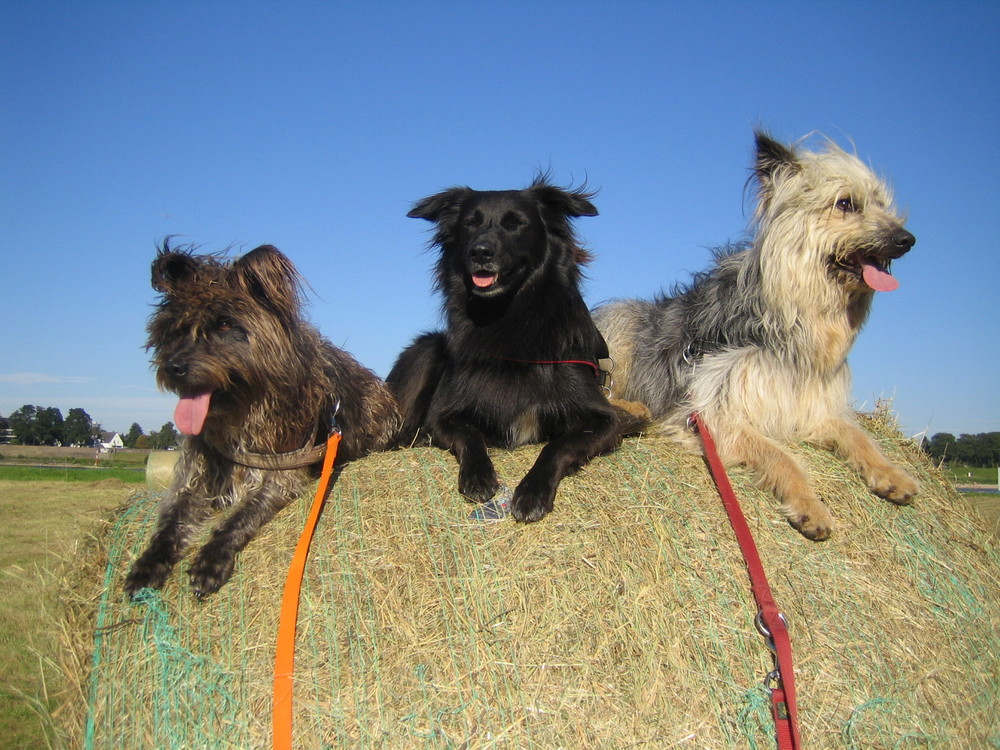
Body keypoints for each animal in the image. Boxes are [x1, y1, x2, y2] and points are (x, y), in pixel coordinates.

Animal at [127, 245, 400, 600]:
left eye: (225, 324)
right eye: (173, 328)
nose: (174, 367)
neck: (242, 410)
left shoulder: (281, 474)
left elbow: (241, 516)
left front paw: (211, 559)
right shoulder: (193, 475)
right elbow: (171, 521)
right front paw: (148, 565)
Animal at [386, 180, 644, 524]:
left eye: (515, 224)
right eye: (470, 224)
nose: (480, 251)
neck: (510, 319)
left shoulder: (604, 419)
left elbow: (558, 445)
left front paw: (532, 492)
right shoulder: (443, 415)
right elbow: (470, 436)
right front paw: (478, 476)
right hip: (428, 348)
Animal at [592, 134, 920, 540]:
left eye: (881, 203)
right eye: (845, 203)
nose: (907, 239)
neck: (795, 323)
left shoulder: (811, 409)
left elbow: (857, 435)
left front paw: (891, 473)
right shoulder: (715, 417)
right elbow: (782, 455)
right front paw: (810, 505)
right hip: (618, 325)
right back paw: (633, 410)